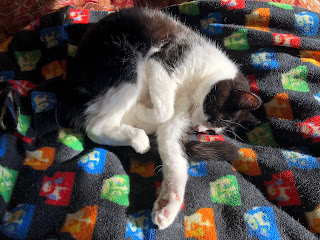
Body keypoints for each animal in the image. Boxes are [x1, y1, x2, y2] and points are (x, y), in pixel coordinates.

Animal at [61, 7, 262, 229]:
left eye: (212, 130)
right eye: (215, 119)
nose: (199, 128)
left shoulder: (179, 118)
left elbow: (173, 149)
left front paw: (169, 203)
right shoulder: (163, 60)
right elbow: (164, 111)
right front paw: (140, 114)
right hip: (124, 59)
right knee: (95, 126)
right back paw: (138, 136)